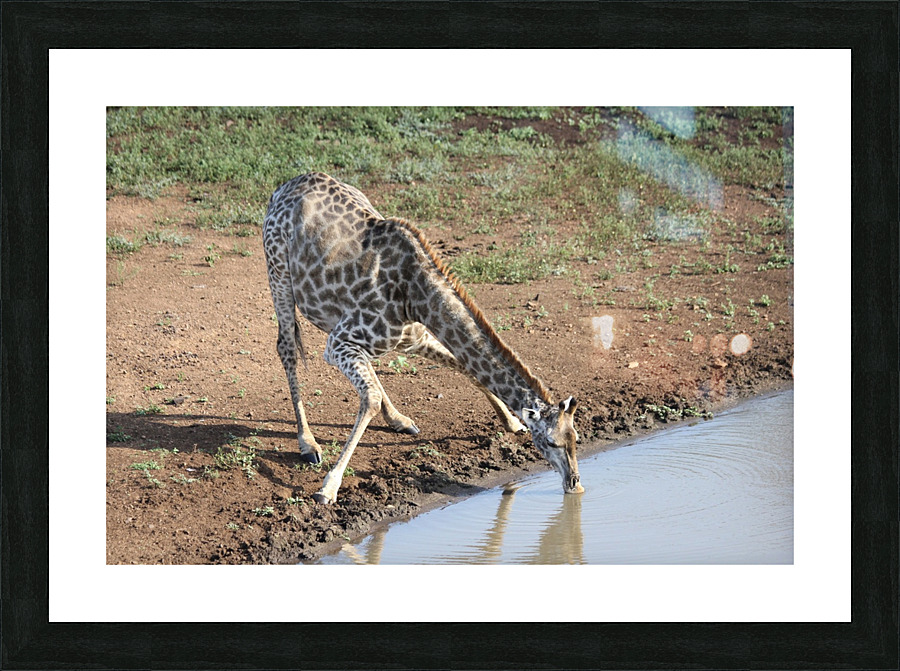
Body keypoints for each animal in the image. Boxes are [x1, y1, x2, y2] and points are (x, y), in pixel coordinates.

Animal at [263, 172, 583, 504]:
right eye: (551, 442)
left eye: (576, 437)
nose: (574, 482)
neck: (415, 295)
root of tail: (286, 186)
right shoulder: (339, 343)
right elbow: (371, 398)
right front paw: (328, 487)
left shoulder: (408, 337)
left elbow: (462, 366)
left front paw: (511, 421)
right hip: (278, 271)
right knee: (286, 346)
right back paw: (308, 443)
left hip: (331, 314)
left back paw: (399, 420)